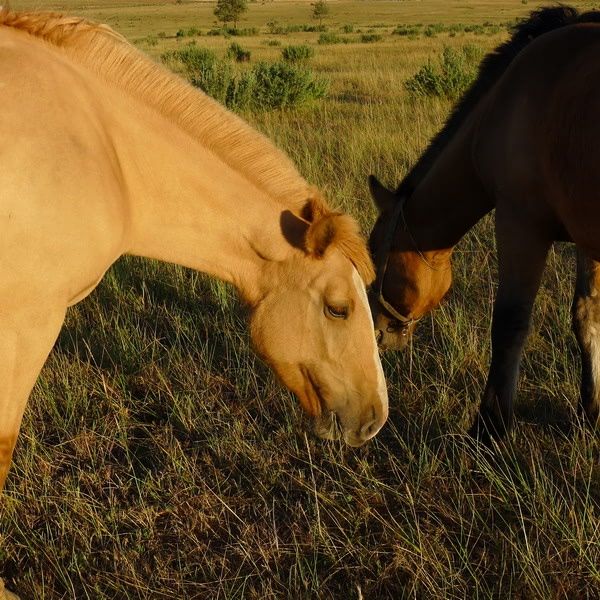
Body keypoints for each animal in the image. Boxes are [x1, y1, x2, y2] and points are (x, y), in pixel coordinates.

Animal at [368, 5, 600, 440]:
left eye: (376, 259)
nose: (376, 332)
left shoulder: (519, 224)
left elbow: (509, 323)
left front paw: (490, 424)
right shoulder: (586, 237)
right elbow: (586, 316)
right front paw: (591, 409)